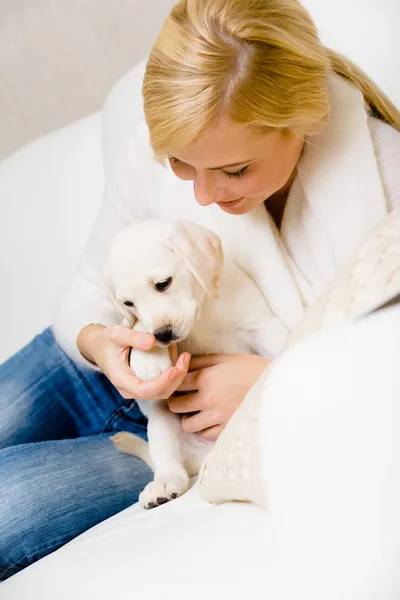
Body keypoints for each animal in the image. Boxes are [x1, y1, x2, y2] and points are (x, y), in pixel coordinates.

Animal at [101, 218, 286, 508]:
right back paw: (162, 485)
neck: (201, 315)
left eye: (163, 284)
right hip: (161, 422)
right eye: (129, 303)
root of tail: (203, 459)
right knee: (170, 466)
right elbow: (138, 326)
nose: (162, 336)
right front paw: (148, 357)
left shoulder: (262, 326)